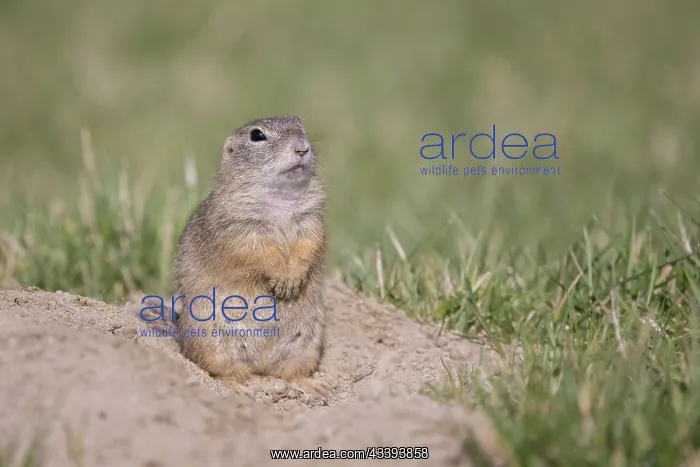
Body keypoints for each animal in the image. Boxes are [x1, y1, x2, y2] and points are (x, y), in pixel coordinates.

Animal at [174, 115, 330, 396]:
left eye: (299, 123)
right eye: (257, 135)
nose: (302, 148)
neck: (280, 197)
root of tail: (261, 366)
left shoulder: (310, 218)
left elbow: (310, 243)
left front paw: (293, 280)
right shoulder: (240, 225)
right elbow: (256, 251)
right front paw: (282, 279)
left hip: (307, 343)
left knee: (290, 372)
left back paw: (314, 385)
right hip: (210, 341)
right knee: (223, 372)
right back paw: (238, 388)